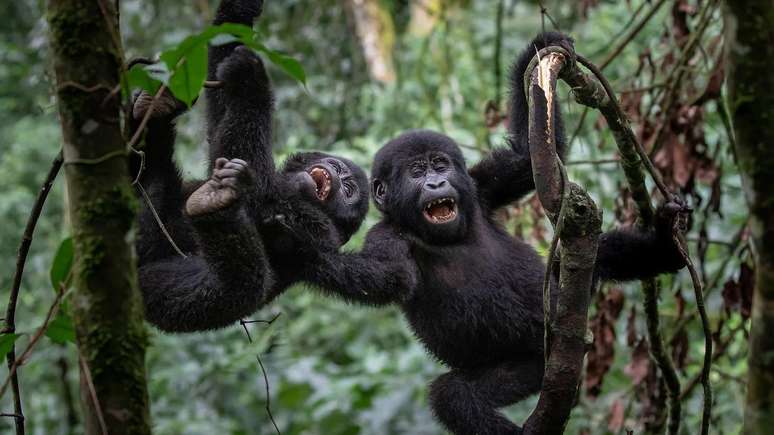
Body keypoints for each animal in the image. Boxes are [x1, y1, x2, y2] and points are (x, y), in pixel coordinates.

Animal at [133, 0, 370, 332]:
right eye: (335, 165)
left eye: (349, 189)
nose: (339, 173)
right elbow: (221, 110)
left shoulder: (319, 229)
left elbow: (258, 189)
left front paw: (253, 79)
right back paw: (156, 109)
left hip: (160, 300)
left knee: (233, 289)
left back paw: (215, 209)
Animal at [310, 32, 692, 434]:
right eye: (416, 172)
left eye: (440, 165)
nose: (436, 183)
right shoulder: (387, 236)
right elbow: (385, 278)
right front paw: (305, 248)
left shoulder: (480, 186)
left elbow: (525, 157)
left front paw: (538, 50)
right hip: (531, 366)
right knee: (454, 395)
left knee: (594, 257)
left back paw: (666, 245)